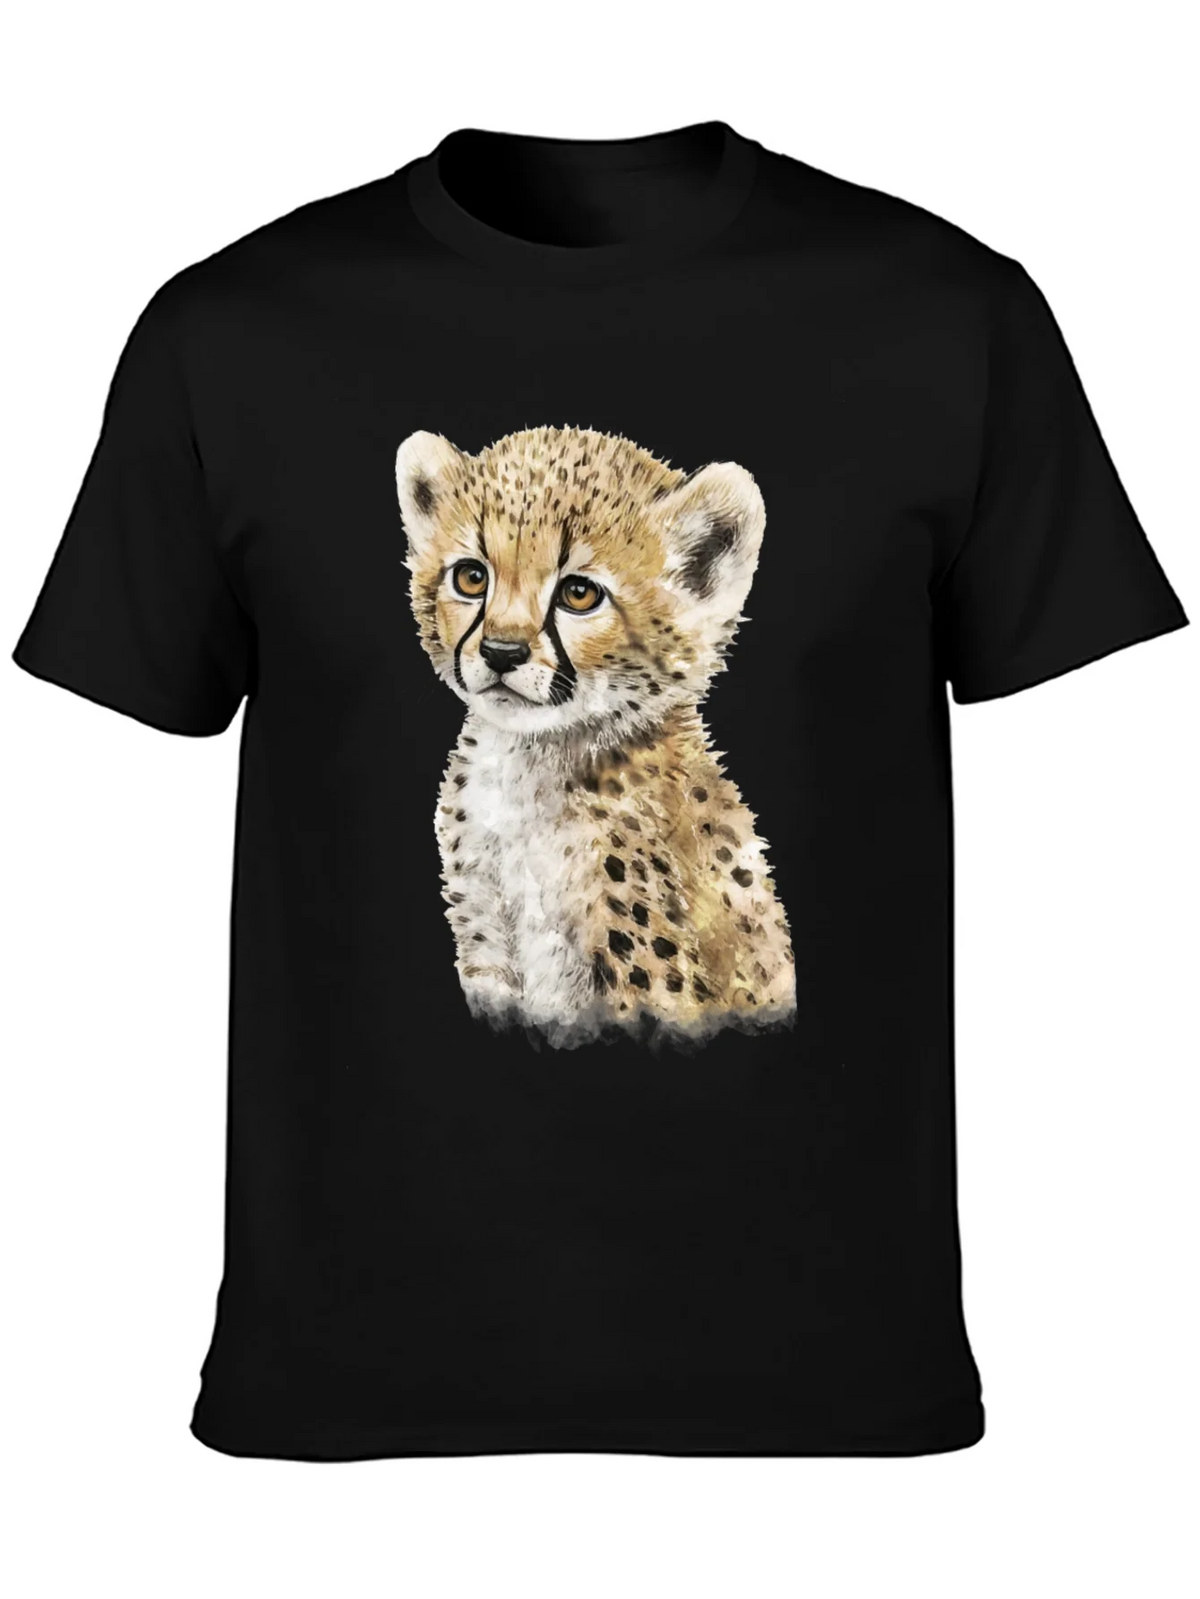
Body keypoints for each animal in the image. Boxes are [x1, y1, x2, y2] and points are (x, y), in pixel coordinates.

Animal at [396, 425, 795, 1039]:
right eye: (471, 576)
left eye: (578, 594)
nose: (501, 652)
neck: (530, 761)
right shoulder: (488, 949)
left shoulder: (646, 986)